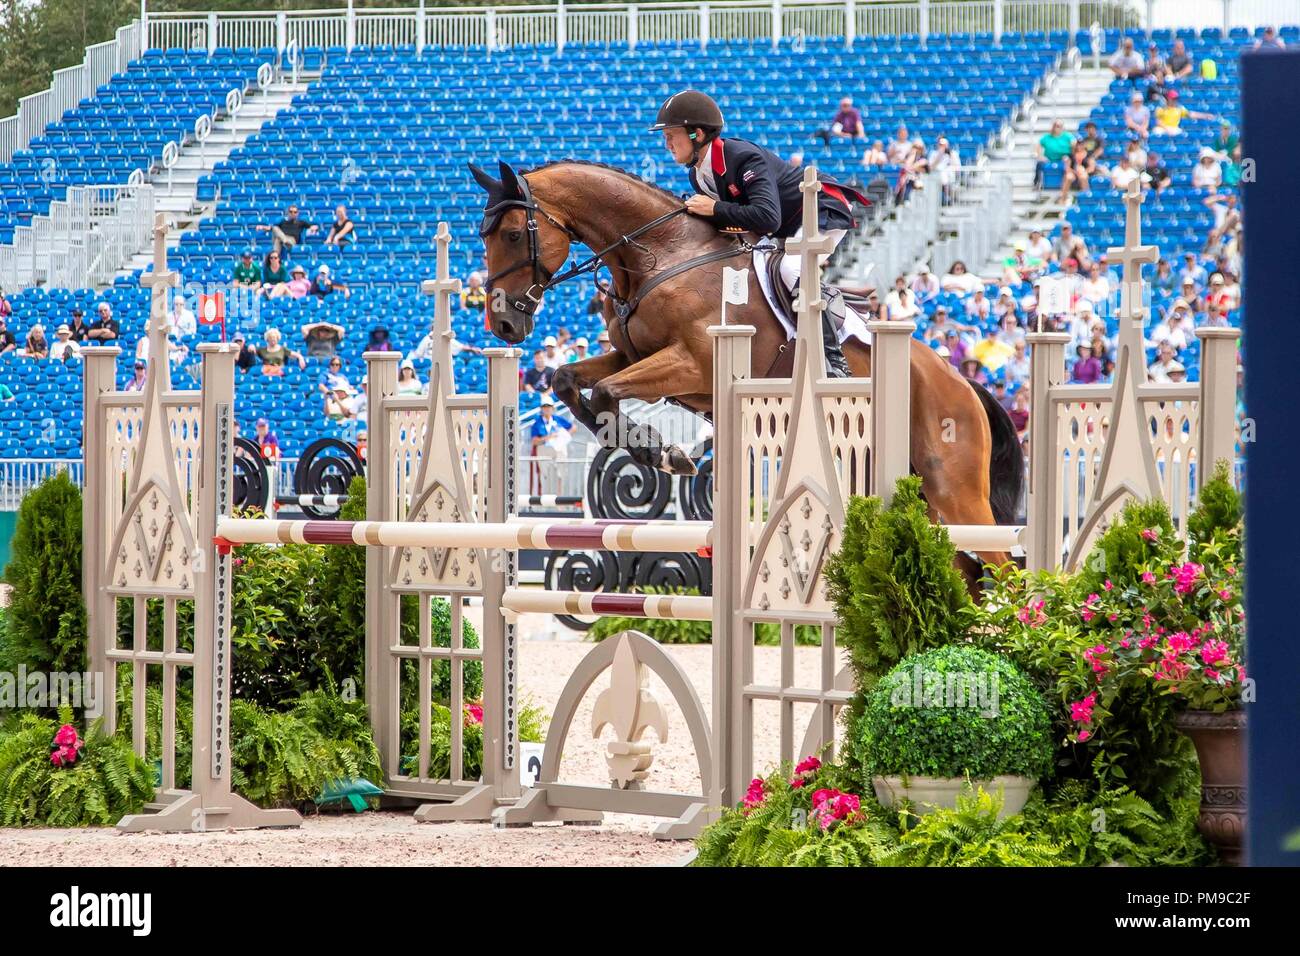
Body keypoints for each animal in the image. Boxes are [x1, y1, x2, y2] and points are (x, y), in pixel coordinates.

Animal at [470, 160, 1024, 572]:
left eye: (515, 235)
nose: (503, 324)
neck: (661, 255)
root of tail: (962, 383)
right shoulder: (633, 357)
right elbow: (569, 381)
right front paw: (657, 449)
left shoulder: (692, 365)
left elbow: (606, 391)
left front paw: (661, 453)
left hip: (953, 488)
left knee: (1000, 567)